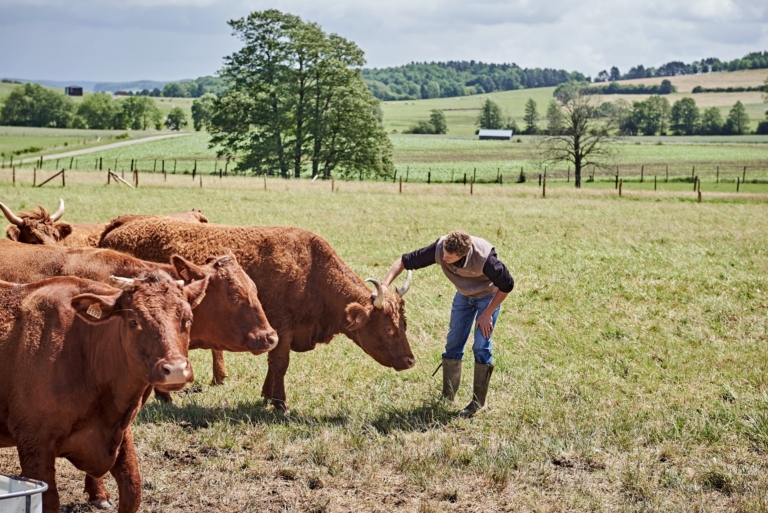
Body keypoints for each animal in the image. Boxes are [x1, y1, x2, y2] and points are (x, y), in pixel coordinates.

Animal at [0, 270, 207, 510]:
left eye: (188, 319)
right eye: (133, 321)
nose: (175, 369)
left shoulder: (121, 435)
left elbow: (133, 490)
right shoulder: (34, 445)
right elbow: (50, 502)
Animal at [101, 218, 416, 410]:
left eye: (404, 323)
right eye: (388, 329)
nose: (410, 361)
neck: (311, 269)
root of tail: (122, 224)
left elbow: (273, 364)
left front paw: (267, 395)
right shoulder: (282, 327)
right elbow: (279, 363)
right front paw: (279, 402)